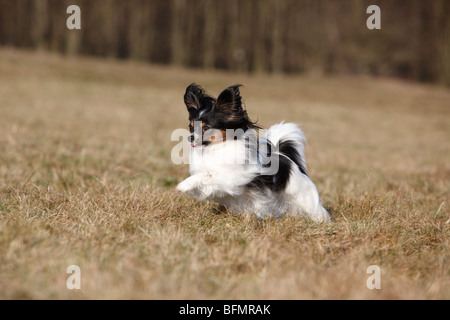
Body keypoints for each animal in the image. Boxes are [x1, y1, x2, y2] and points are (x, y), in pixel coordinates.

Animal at [176, 83, 330, 222]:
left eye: (206, 127)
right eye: (191, 127)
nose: (190, 137)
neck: (216, 147)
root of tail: (287, 158)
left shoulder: (231, 179)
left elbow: (208, 174)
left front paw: (183, 185)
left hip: (304, 197)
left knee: (316, 211)